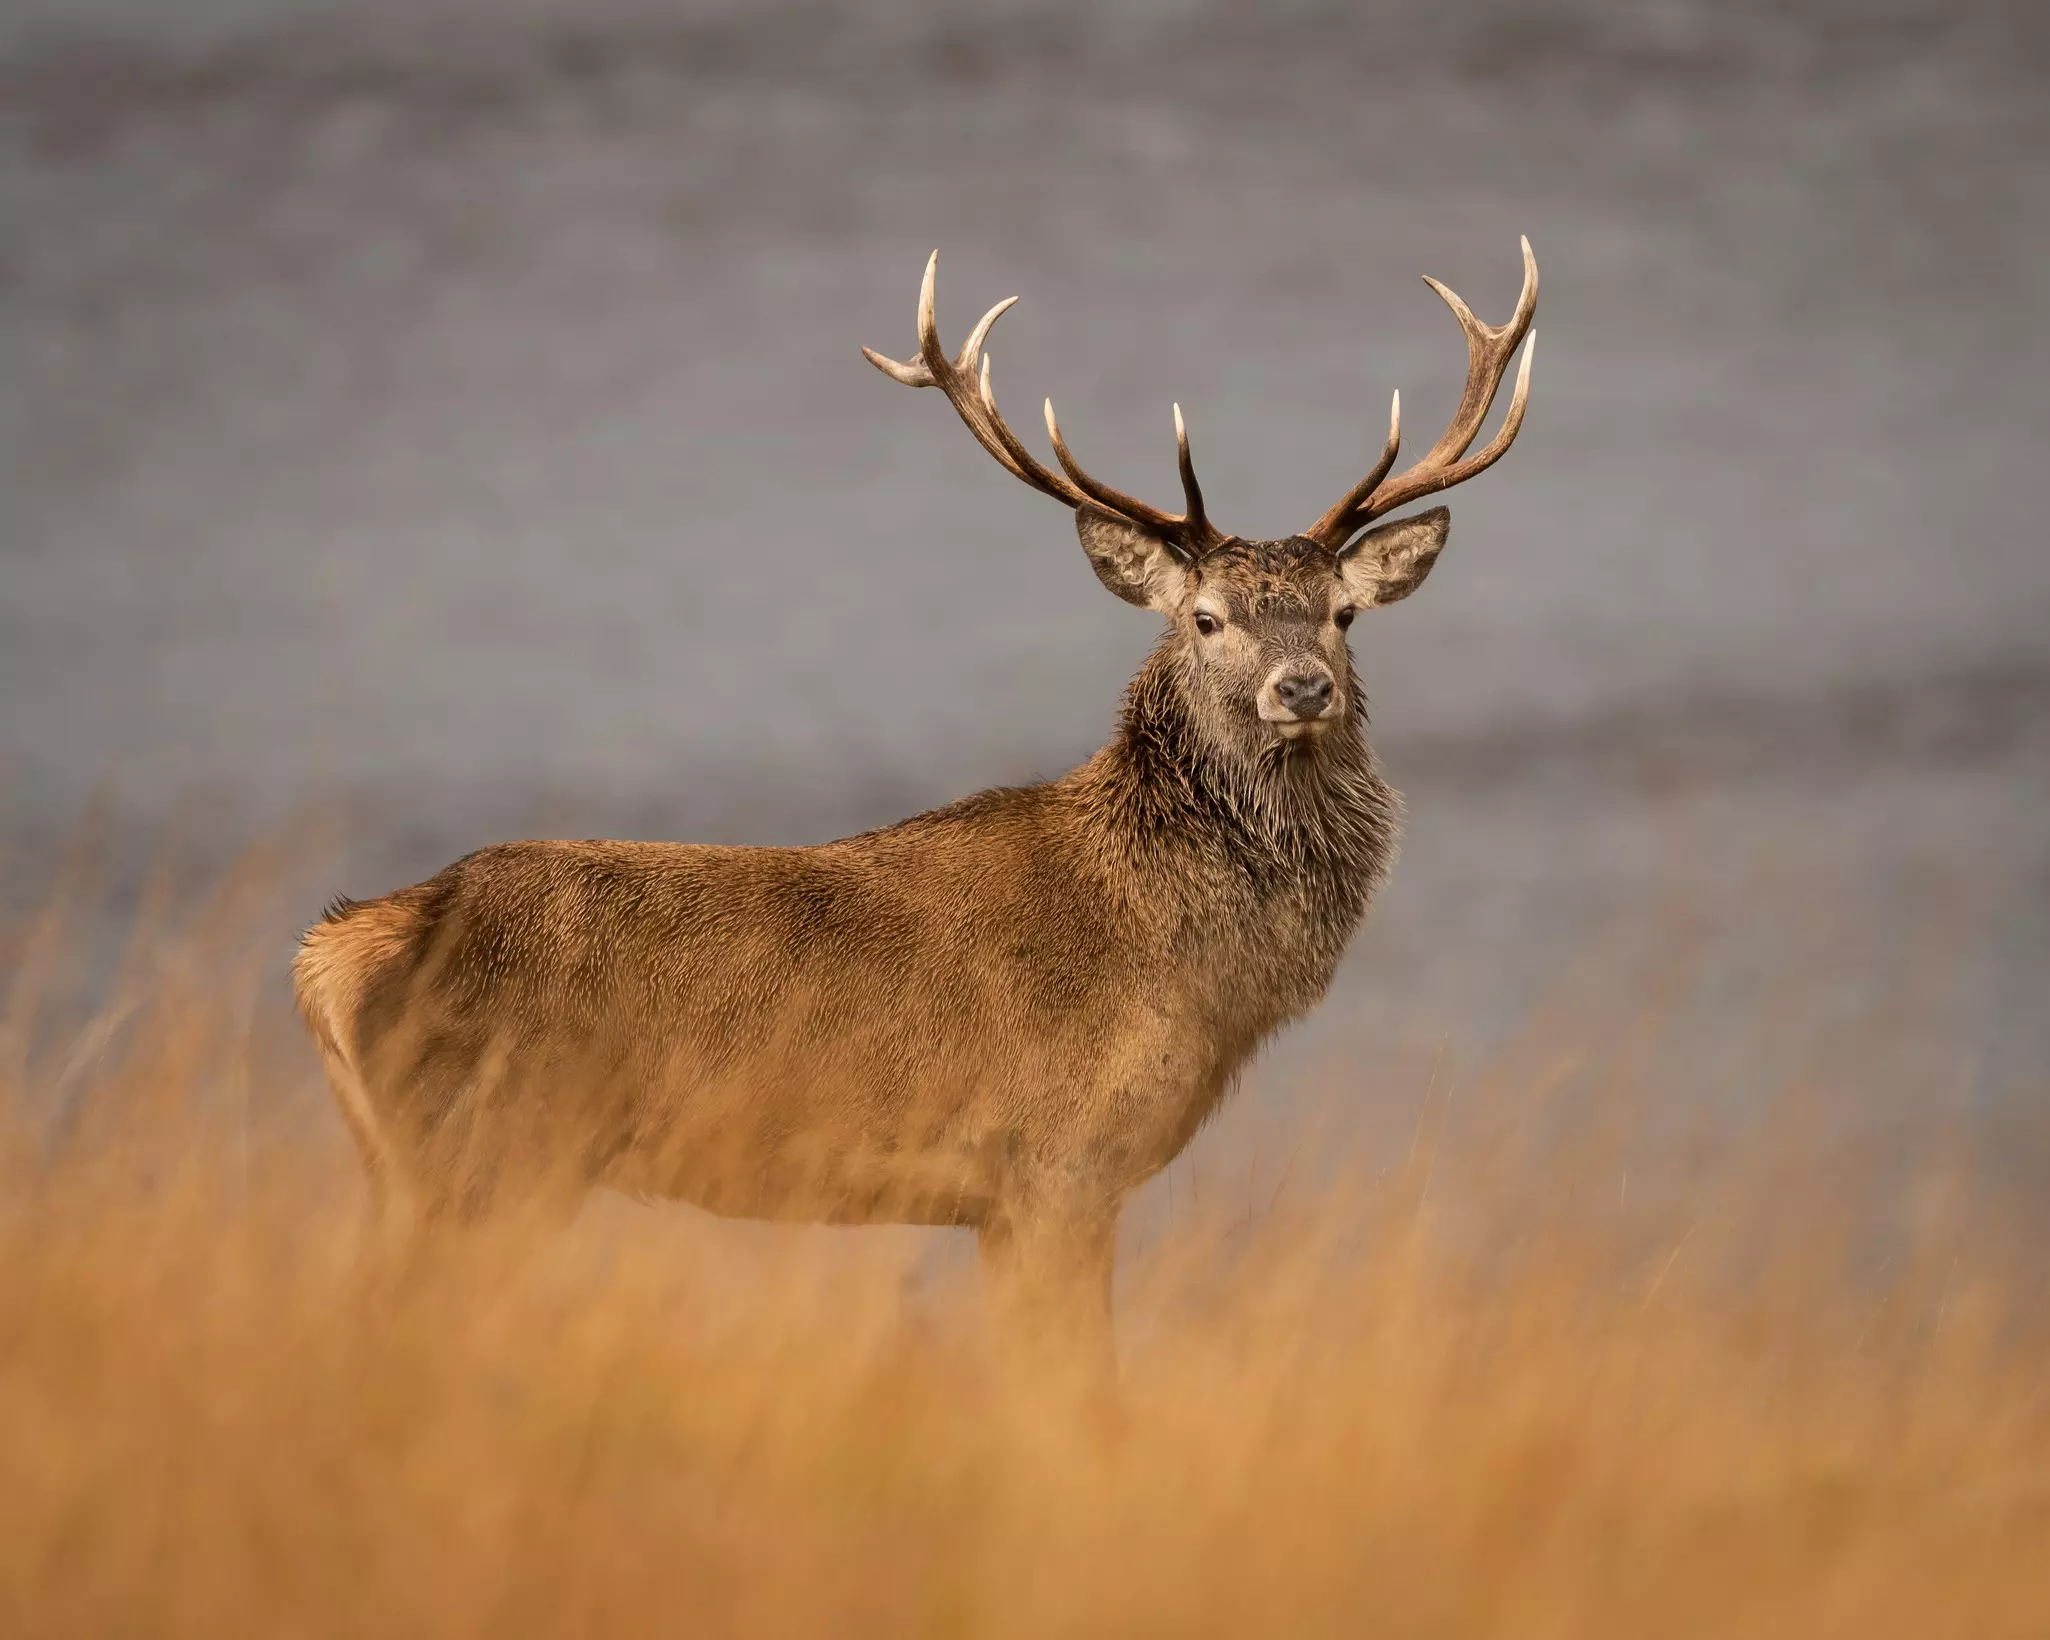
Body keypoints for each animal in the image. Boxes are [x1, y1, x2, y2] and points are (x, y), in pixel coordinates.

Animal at [293, 239, 1537, 1360]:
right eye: (1206, 617)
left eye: (1342, 612)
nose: (1303, 686)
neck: (1184, 968)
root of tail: (339, 948)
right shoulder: (1058, 1162)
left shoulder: (999, 1201)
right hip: (488, 1155)